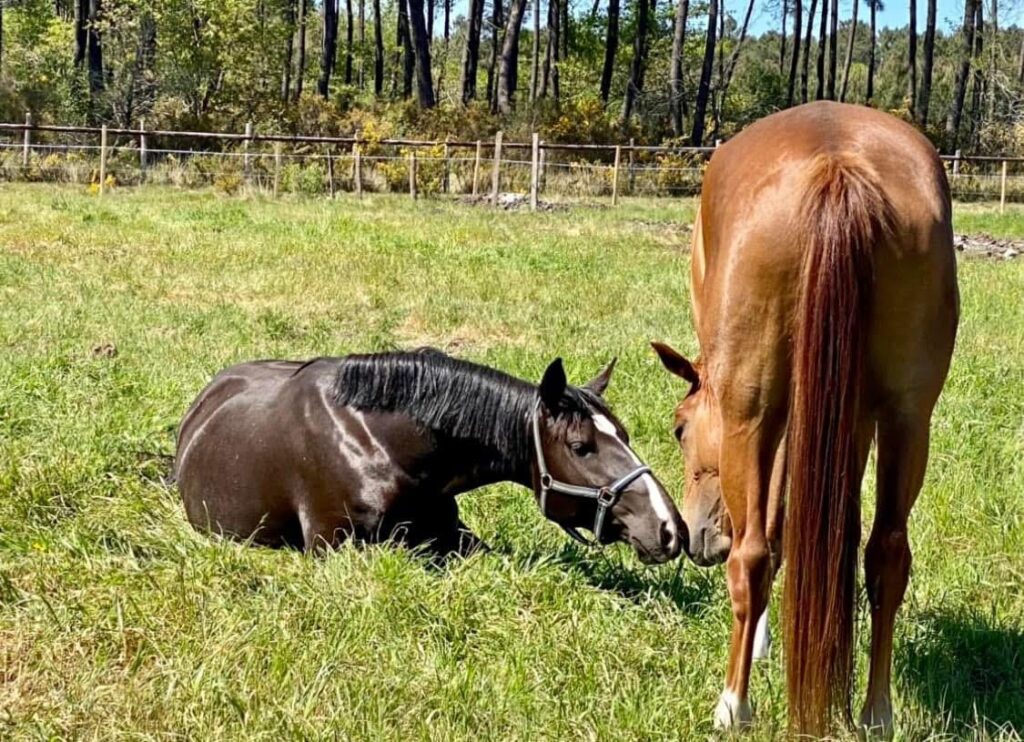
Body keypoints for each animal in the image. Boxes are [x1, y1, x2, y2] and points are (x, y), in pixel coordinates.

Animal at [174, 348, 684, 564]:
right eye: (581, 447)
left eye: (625, 434)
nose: (669, 528)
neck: (377, 443)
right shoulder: (335, 547)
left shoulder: (456, 534)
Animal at [652, 101, 958, 736]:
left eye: (679, 428)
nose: (694, 536)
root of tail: (837, 168)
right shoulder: (849, 420)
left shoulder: (759, 417)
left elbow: (769, 529)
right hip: (908, 417)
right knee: (887, 555)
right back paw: (875, 713)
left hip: (753, 412)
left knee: (750, 556)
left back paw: (733, 706)